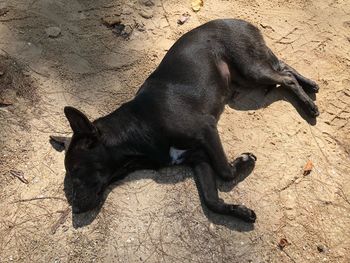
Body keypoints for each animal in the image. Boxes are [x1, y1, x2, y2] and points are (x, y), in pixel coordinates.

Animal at [61, 19, 318, 224]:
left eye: (75, 170)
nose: (76, 211)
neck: (138, 127)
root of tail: (241, 21)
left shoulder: (207, 131)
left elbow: (225, 171)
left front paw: (243, 161)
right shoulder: (199, 159)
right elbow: (211, 200)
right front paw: (240, 211)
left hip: (250, 69)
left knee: (285, 78)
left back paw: (308, 105)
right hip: (246, 75)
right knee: (283, 67)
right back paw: (311, 84)